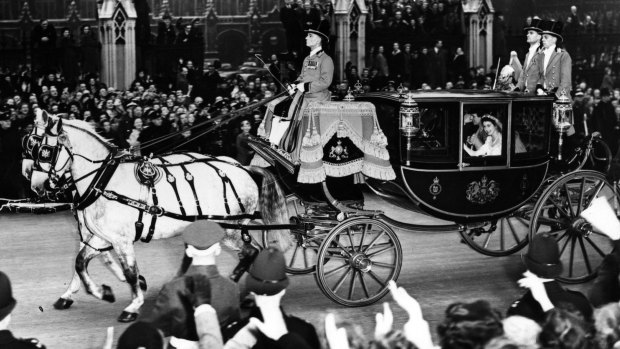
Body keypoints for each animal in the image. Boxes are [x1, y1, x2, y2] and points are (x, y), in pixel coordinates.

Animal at [28, 111, 290, 320]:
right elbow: (80, 262)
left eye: (45, 151)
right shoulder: (101, 237)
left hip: (229, 229)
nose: (36, 187)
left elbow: (130, 272)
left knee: (250, 252)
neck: (104, 180)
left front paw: (133, 305)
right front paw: (97, 292)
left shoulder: (121, 240)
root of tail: (244, 168)